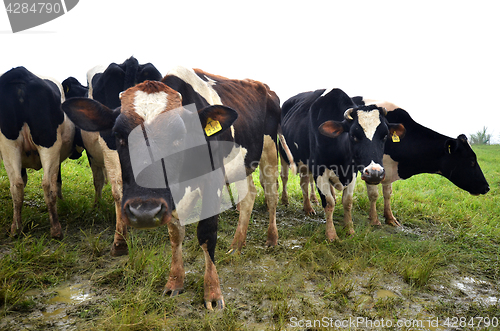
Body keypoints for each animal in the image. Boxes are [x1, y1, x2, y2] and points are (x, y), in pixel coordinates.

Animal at [0, 67, 76, 239]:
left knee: (17, 185)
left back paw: (16, 228)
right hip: (49, 142)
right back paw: (56, 230)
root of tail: (20, 74)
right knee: (48, 184)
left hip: (9, 144)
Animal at [280, 89, 404, 241]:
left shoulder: (353, 172)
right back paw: (285, 200)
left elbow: (347, 201)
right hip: (284, 154)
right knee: (285, 177)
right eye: (353, 135)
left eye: (385, 135)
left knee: (304, 183)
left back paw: (308, 208)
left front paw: (349, 230)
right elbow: (329, 203)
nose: (375, 173)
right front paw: (331, 235)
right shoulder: (319, 172)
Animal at [352, 96, 488, 226]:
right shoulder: (371, 167)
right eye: (471, 161)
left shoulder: (386, 169)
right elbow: (373, 194)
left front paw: (390, 219)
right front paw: (374, 220)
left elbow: (387, 193)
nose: (487, 187)